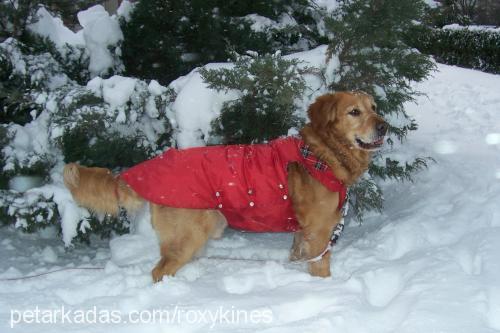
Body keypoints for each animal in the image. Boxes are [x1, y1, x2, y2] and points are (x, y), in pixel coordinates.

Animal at [62, 91, 388, 280]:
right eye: (354, 112)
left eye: (375, 107)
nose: (385, 125)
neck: (320, 154)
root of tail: (145, 168)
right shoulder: (320, 233)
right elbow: (321, 268)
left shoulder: (301, 234)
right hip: (189, 236)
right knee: (158, 271)